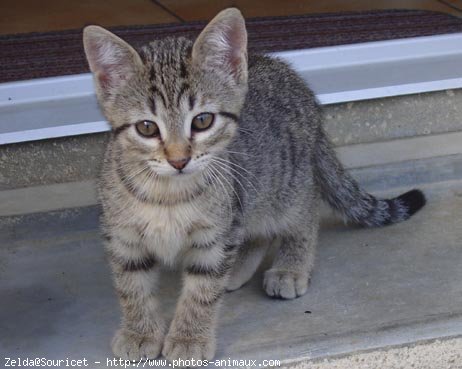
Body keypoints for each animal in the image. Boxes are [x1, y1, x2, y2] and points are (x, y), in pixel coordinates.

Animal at [82, 7, 426, 360]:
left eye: (202, 120)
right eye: (147, 128)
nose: (179, 160)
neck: (168, 194)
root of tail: (296, 81)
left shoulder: (215, 237)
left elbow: (201, 292)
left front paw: (189, 338)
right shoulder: (123, 236)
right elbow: (131, 287)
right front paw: (139, 332)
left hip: (286, 182)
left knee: (305, 209)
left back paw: (290, 267)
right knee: (257, 229)